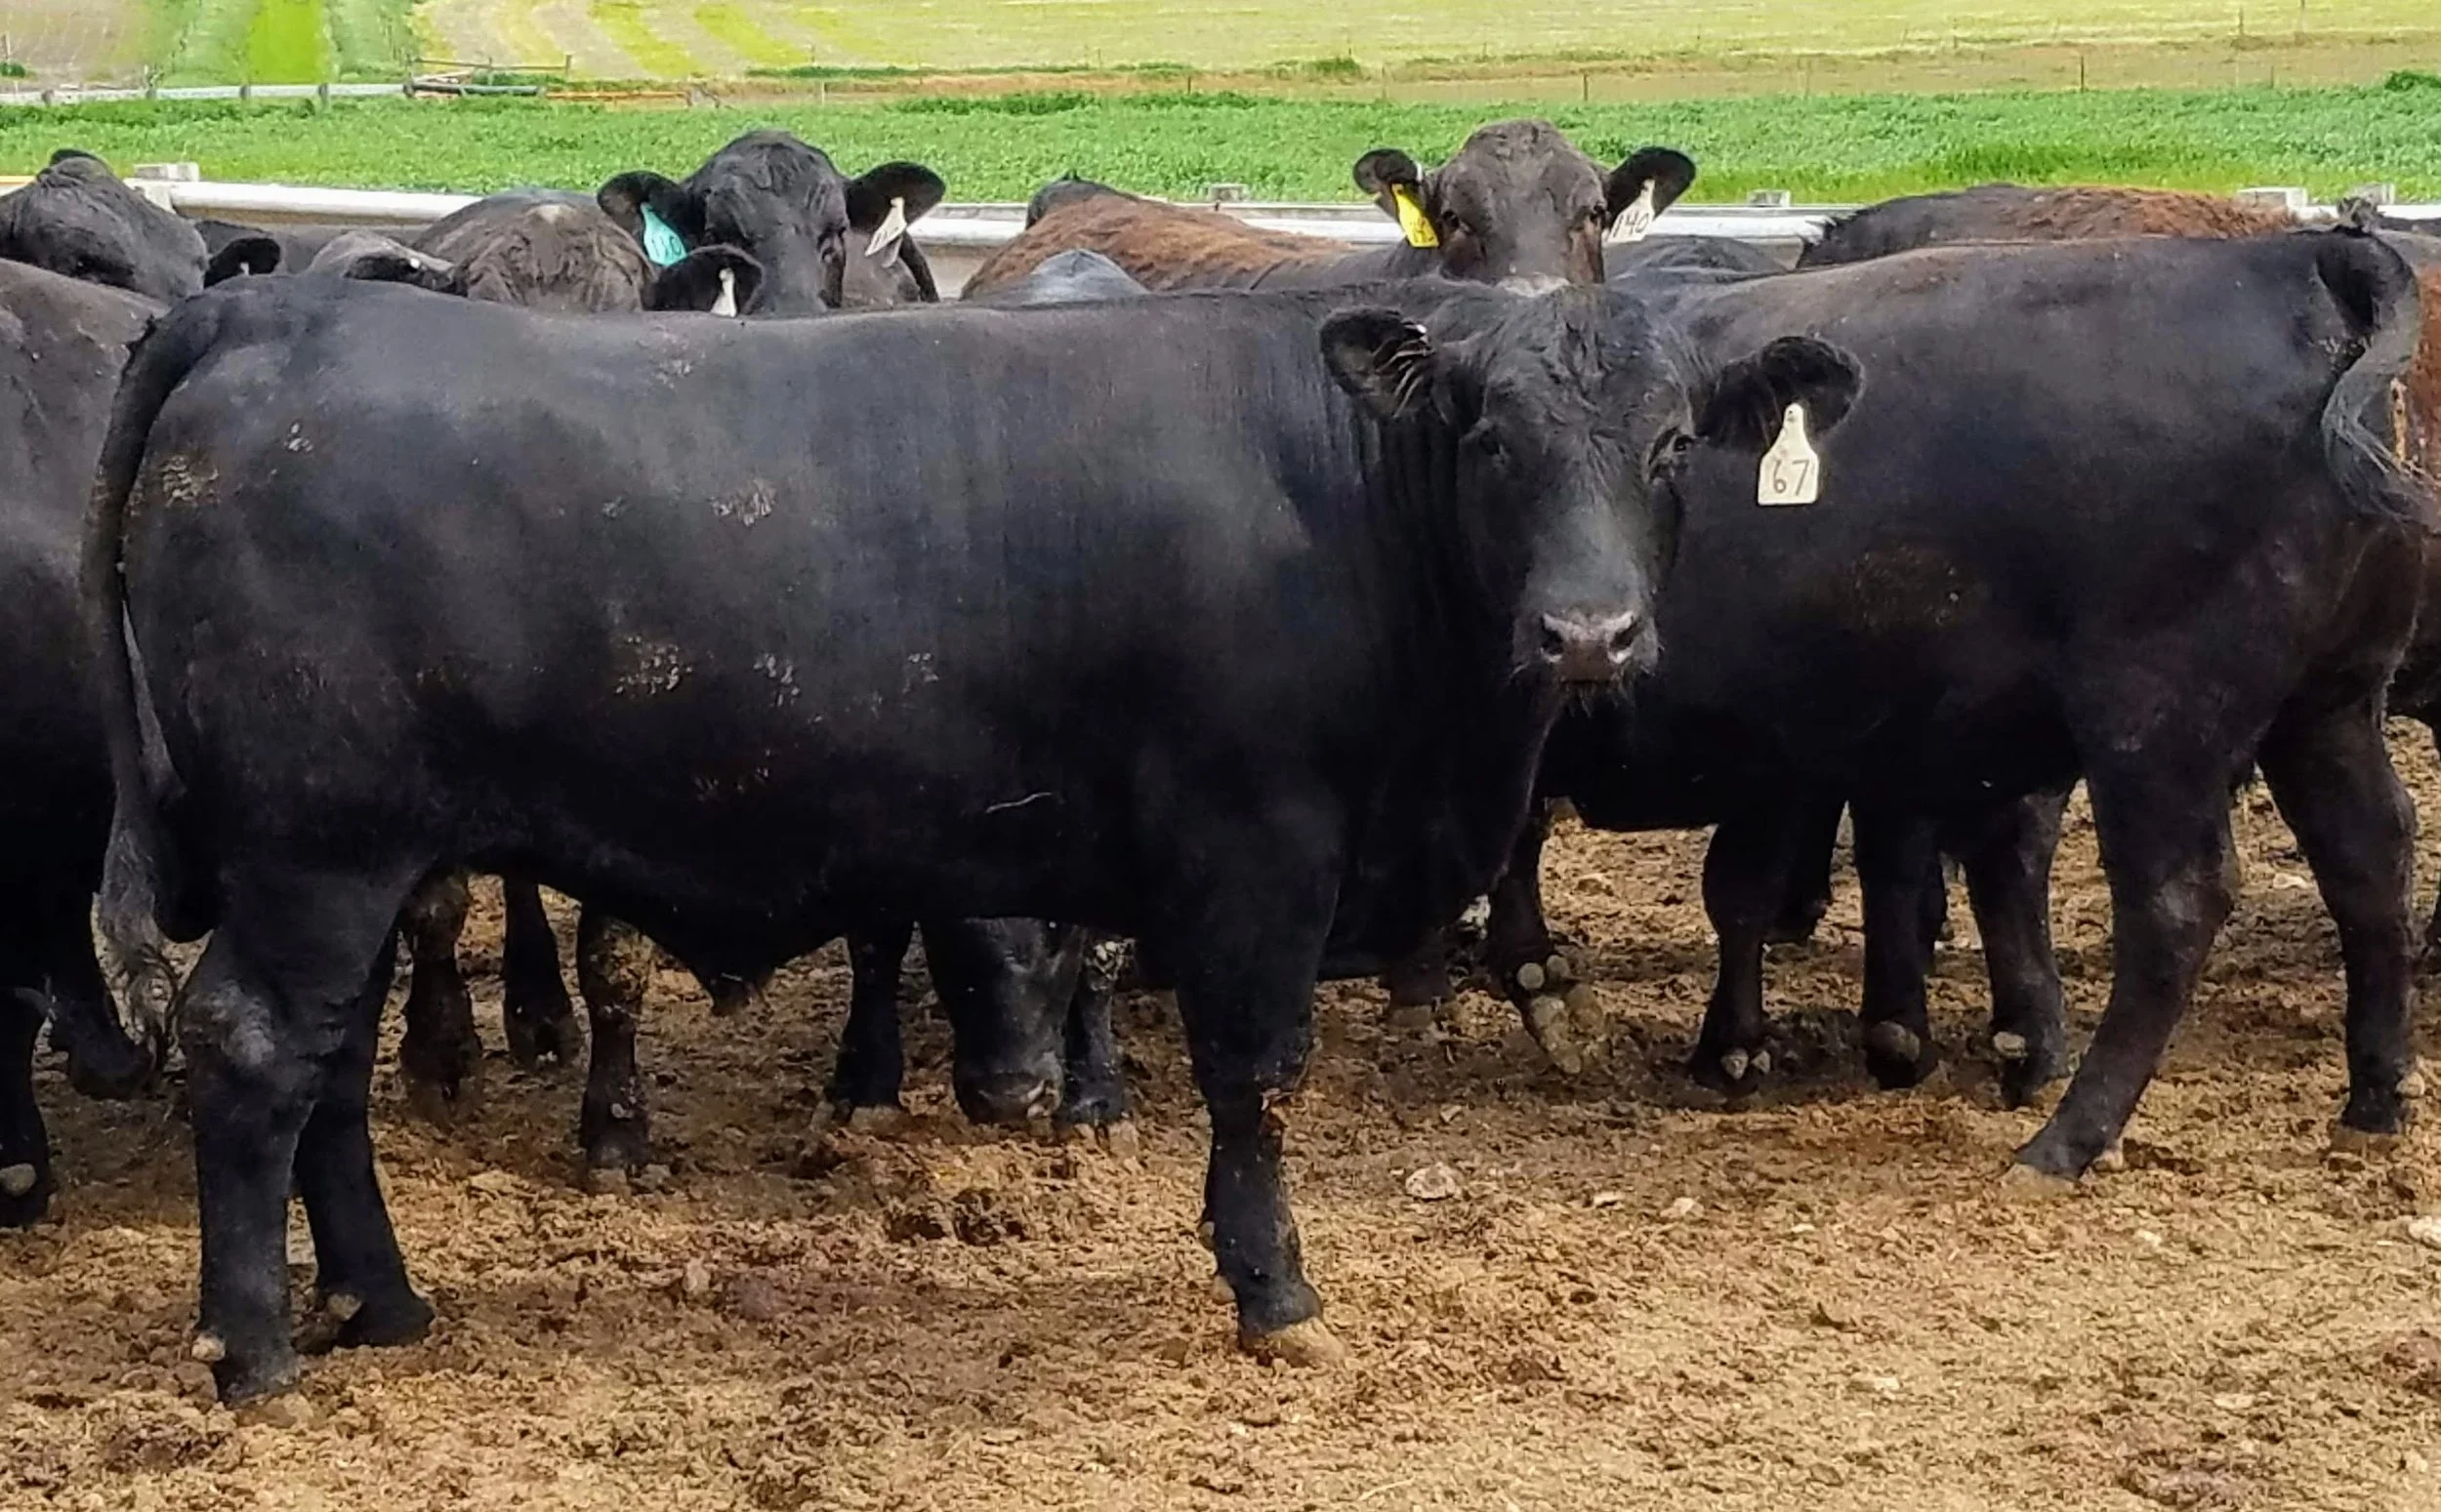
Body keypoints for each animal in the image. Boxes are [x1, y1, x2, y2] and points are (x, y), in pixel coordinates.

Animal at [83, 273, 1856, 1400]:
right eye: (1493, 439)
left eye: (1672, 445)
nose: (1588, 634)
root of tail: (275, 309)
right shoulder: (1261, 847)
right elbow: (1260, 1076)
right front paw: (1275, 1291)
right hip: (321, 848)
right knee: (259, 1050)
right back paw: (255, 1352)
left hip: (353, 864)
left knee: (326, 1069)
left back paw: (383, 1304)